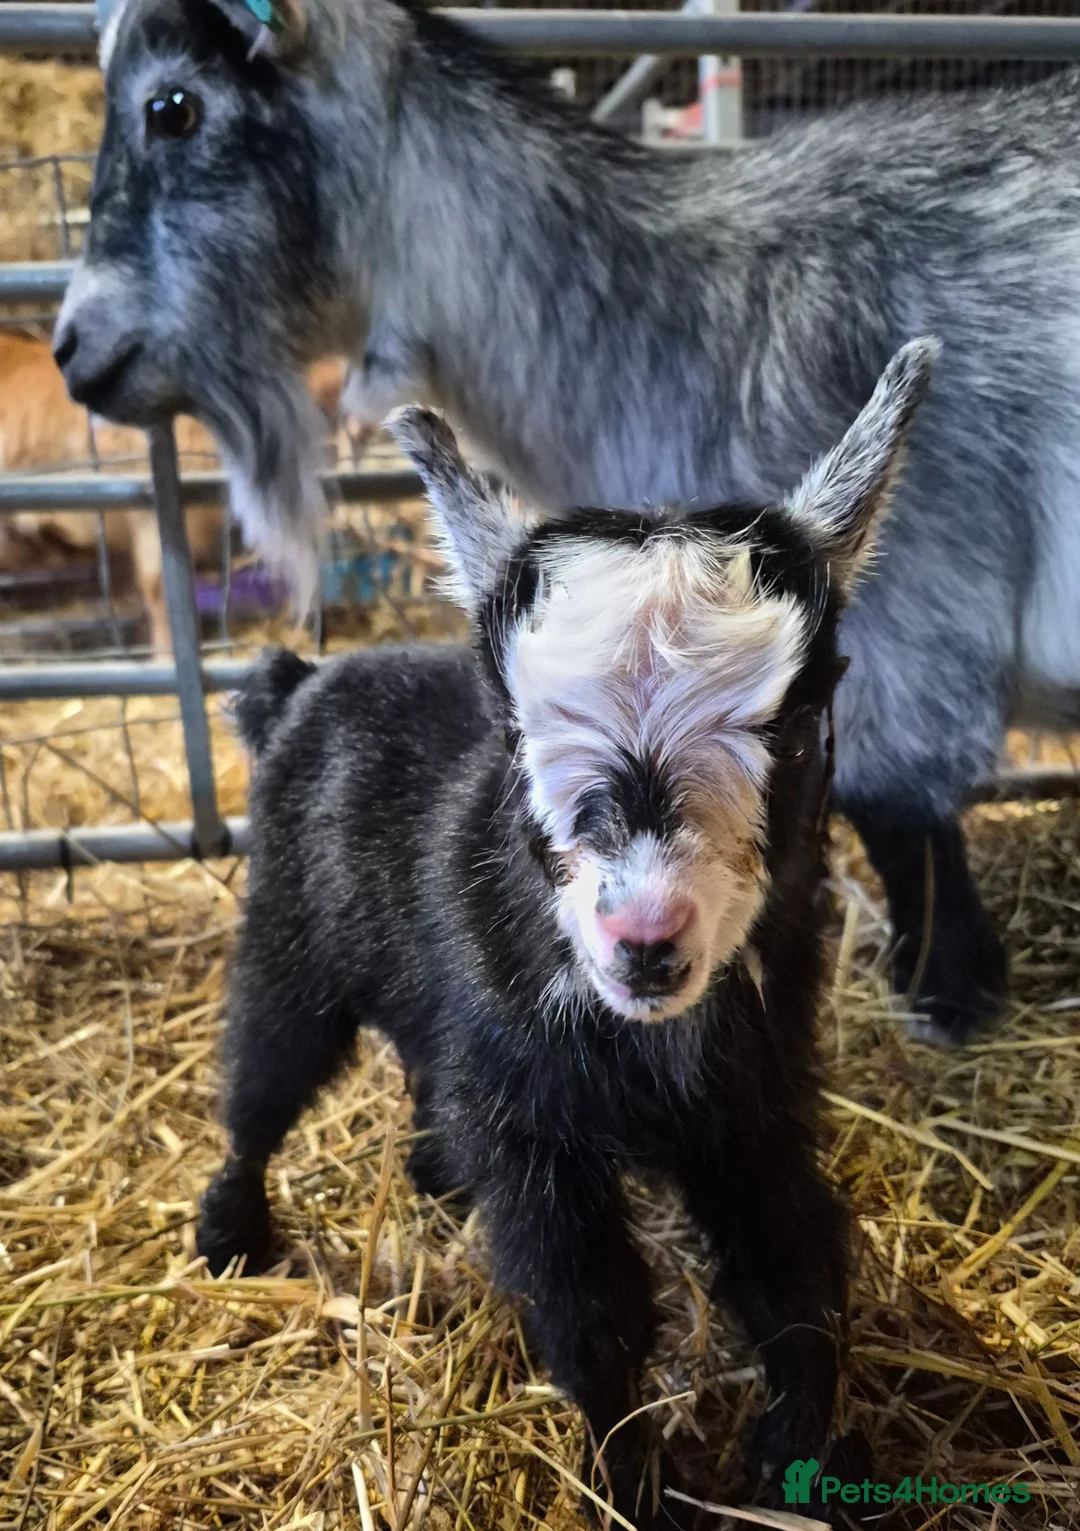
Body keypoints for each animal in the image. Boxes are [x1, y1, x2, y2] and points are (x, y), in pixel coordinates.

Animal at [54, 0, 1075, 1042]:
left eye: (172, 107)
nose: (71, 348)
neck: (682, 308)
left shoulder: (911, 616)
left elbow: (898, 809)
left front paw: (945, 994)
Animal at [196, 341, 934, 1525]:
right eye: (517, 725)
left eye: (796, 717)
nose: (646, 937)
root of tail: (302, 682)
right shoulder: (536, 1134)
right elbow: (591, 1311)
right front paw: (631, 1483)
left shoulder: (755, 1098)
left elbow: (794, 1262)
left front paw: (793, 1455)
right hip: (292, 932)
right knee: (262, 1075)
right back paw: (230, 1233)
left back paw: (430, 1171)